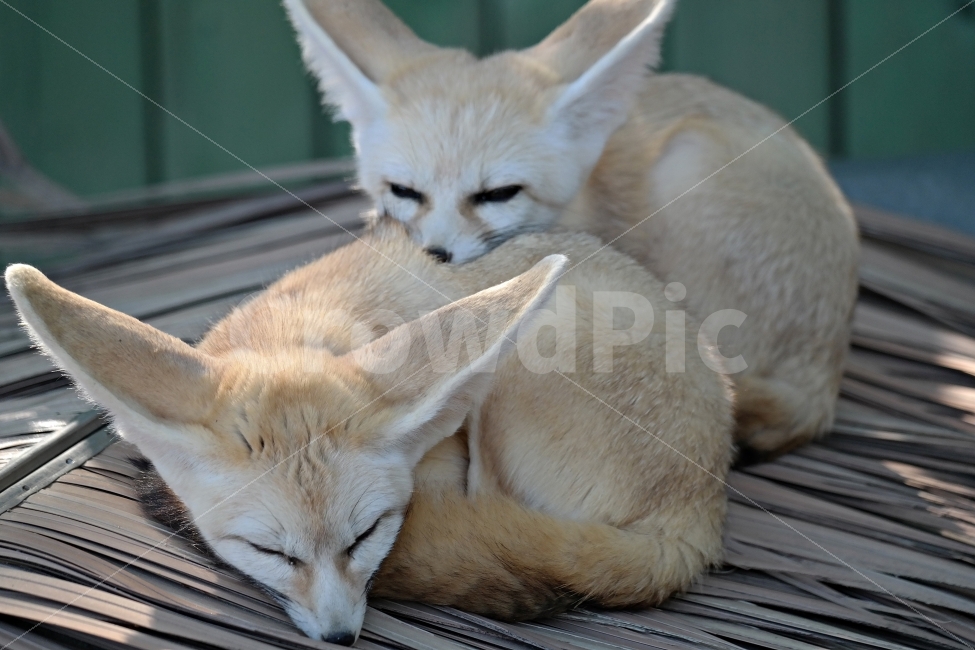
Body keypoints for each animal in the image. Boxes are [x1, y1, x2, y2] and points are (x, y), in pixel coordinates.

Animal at [6, 223, 733, 643]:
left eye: (367, 536)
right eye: (271, 552)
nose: (339, 637)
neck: (303, 327)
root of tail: (695, 519)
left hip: (531, 357)